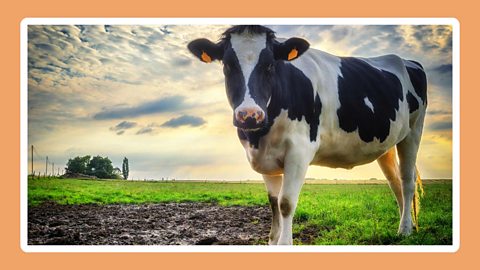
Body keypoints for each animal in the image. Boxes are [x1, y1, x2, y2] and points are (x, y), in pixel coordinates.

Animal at [188, 25, 428, 245]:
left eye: (270, 65)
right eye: (227, 65)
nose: (249, 115)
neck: (260, 136)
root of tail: (408, 61)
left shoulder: (300, 150)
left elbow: (285, 203)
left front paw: (285, 244)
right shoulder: (264, 157)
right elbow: (273, 202)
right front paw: (273, 242)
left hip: (413, 131)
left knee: (407, 181)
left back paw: (405, 230)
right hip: (386, 144)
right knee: (395, 182)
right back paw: (405, 226)